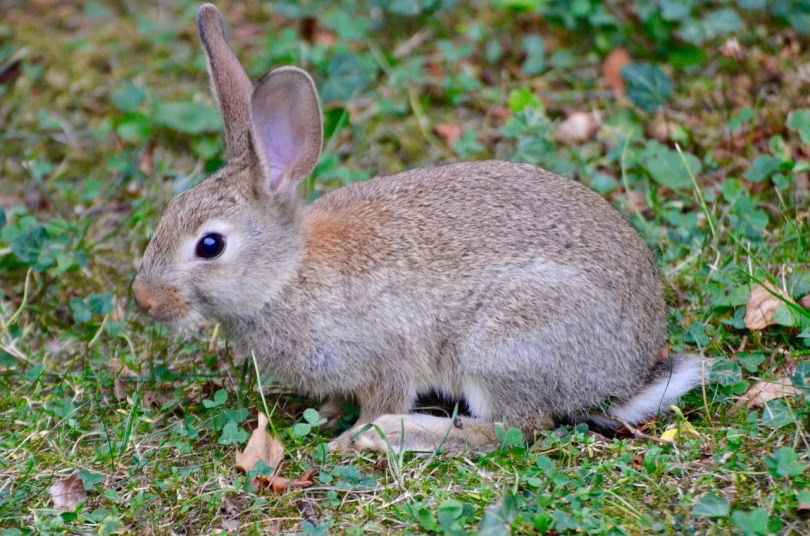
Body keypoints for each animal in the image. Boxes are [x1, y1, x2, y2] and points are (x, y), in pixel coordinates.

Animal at [132, 3, 704, 454]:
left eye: (210, 245)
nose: (143, 300)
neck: (286, 275)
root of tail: (627, 374)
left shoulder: (388, 355)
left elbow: (383, 395)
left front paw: (346, 438)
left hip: (503, 346)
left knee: (512, 430)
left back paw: (392, 434)